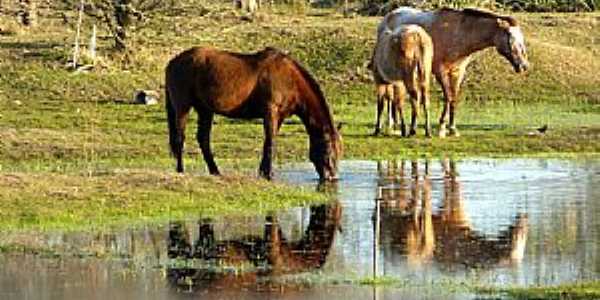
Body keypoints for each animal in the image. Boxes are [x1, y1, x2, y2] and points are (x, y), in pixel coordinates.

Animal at [165, 47, 342, 180]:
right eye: (328, 149)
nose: (331, 177)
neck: (289, 78)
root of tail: (173, 62)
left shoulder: (279, 117)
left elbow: (268, 142)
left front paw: (263, 172)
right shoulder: (271, 112)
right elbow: (270, 142)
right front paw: (269, 174)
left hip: (205, 110)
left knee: (203, 139)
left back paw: (215, 171)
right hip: (183, 107)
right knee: (180, 138)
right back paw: (181, 170)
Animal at [376, 7, 528, 136]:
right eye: (510, 37)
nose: (524, 65)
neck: (459, 32)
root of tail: (389, 16)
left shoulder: (458, 72)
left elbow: (454, 98)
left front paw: (453, 128)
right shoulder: (441, 72)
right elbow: (448, 97)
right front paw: (442, 127)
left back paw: (395, 124)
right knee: (390, 96)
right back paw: (391, 125)